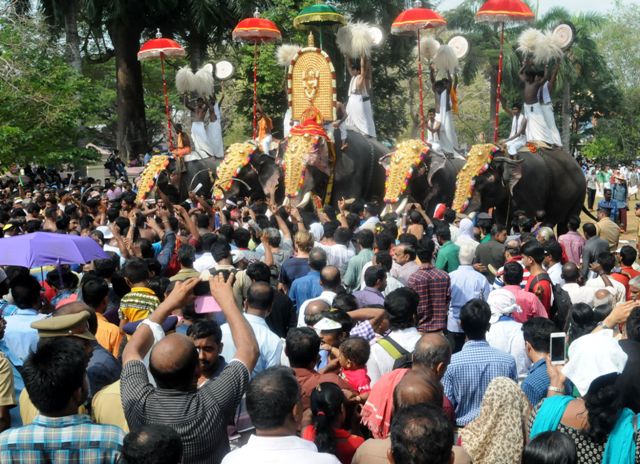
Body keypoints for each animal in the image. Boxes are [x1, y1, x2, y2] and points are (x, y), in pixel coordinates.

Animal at [453, 144, 587, 234]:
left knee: (559, 221)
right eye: (457, 179)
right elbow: (502, 221)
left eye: (482, 182)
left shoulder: (530, 188)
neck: (507, 156)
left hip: (577, 195)